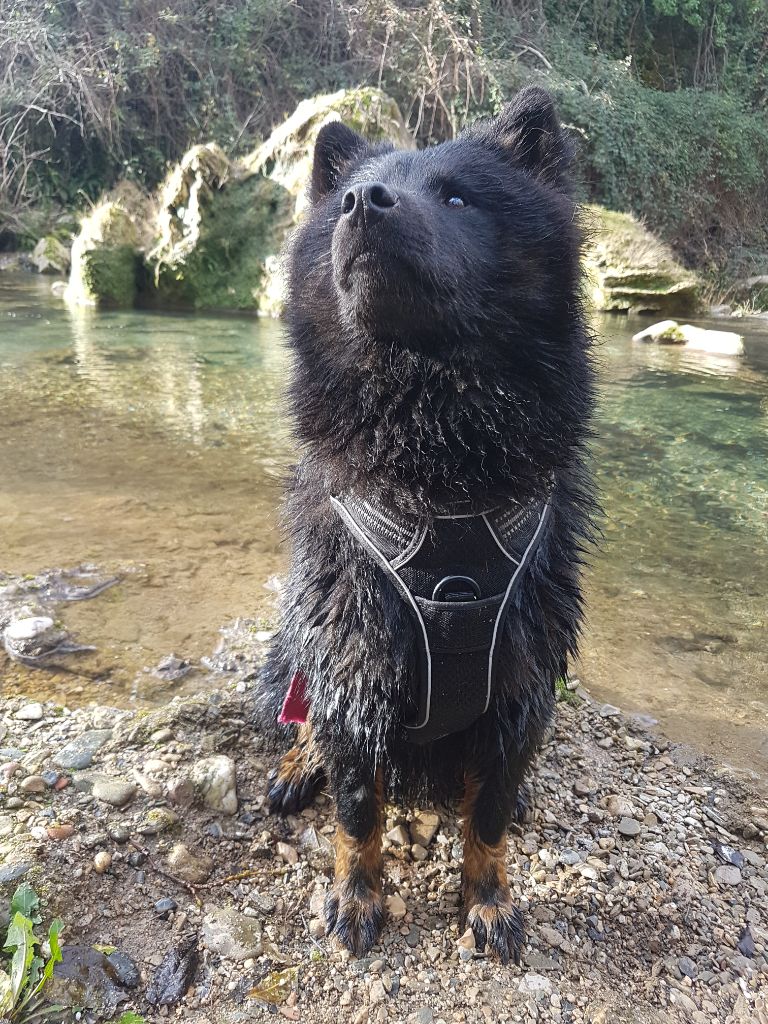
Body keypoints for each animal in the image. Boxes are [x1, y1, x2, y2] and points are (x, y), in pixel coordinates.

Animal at [259, 86, 593, 958]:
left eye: (457, 198)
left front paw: (488, 901)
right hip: (293, 638)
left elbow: (487, 816)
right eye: (348, 195)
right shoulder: (353, 654)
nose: (362, 203)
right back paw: (297, 763)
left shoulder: (521, 677)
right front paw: (356, 897)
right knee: (302, 712)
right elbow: (357, 807)